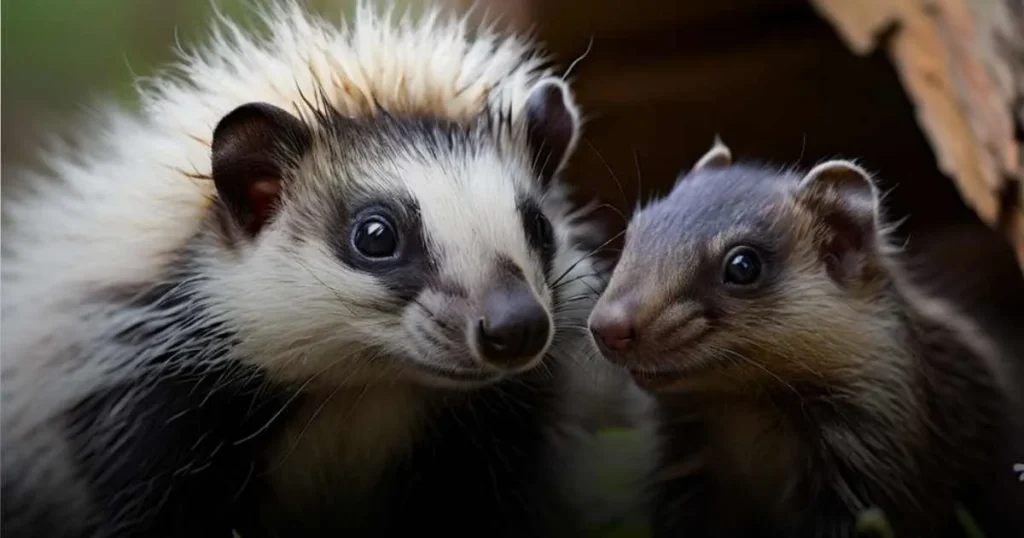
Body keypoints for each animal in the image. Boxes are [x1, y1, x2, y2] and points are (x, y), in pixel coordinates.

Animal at [2, 3, 638, 532]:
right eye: (375, 235)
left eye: (539, 226)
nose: (516, 327)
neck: (361, 389)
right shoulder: (142, 410)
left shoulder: (494, 430)